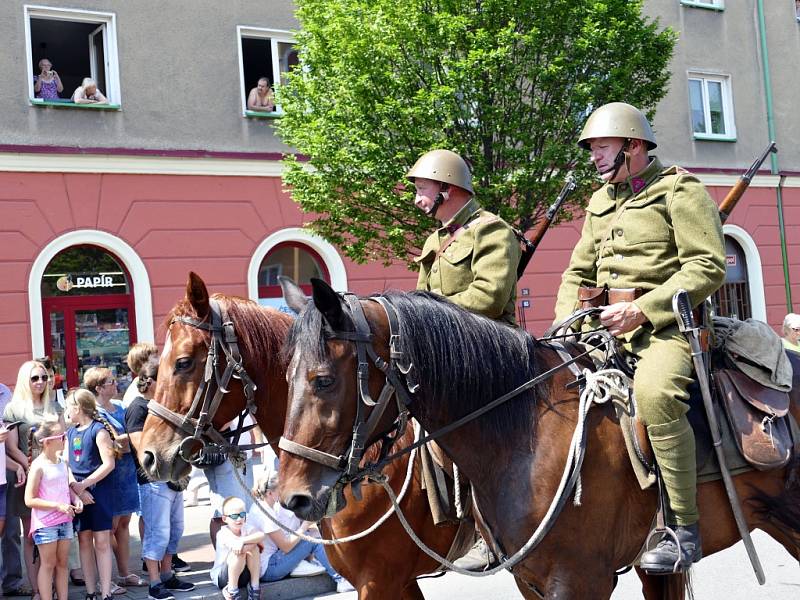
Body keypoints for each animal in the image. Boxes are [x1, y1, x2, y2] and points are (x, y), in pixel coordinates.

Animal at [278, 278, 800, 600]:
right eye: (287, 378)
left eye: (323, 380)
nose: (292, 496)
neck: (521, 432)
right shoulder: (529, 580)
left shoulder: (580, 580)